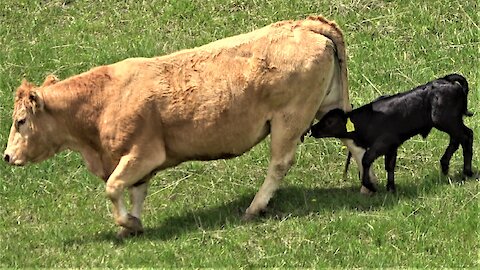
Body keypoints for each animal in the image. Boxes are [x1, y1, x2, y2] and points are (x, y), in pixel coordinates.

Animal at [4, 15, 376, 237]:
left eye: (20, 121)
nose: (7, 156)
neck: (103, 99)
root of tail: (307, 23)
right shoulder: (139, 161)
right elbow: (135, 191)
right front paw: (132, 226)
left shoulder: (143, 152)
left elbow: (113, 186)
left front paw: (127, 223)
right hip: (329, 107)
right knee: (355, 141)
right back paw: (367, 188)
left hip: (289, 119)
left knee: (279, 164)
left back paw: (254, 208)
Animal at [312, 73, 472, 192]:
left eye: (329, 121)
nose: (313, 129)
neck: (367, 120)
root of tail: (446, 80)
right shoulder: (392, 146)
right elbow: (389, 165)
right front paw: (391, 187)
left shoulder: (382, 143)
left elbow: (366, 160)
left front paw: (370, 185)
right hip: (452, 122)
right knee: (457, 139)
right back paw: (445, 166)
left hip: (446, 120)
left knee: (466, 136)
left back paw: (467, 172)